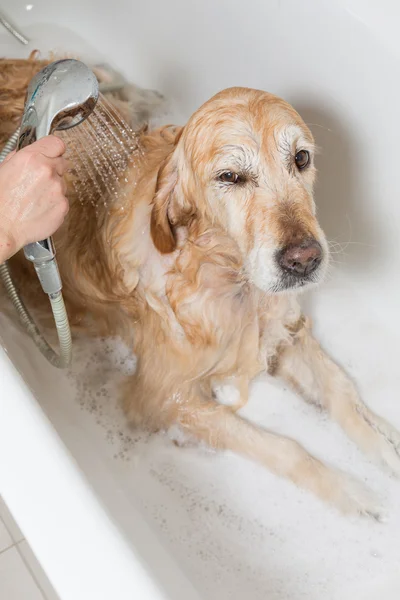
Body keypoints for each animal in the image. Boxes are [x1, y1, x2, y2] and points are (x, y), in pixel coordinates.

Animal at [1, 55, 398, 520]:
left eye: (301, 158)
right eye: (230, 176)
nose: (304, 259)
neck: (229, 276)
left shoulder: (283, 329)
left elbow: (340, 389)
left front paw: (385, 442)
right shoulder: (162, 396)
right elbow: (284, 447)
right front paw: (349, 491)